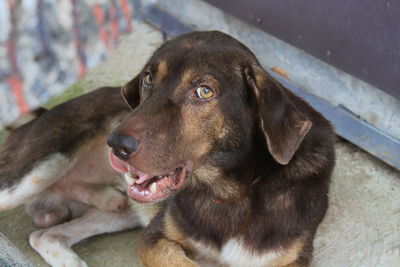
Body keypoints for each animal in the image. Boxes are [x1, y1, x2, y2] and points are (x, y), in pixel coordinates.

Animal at [0, 30, 336, 266]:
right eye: (148, 78)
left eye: (204, 91)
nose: (116, 144)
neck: (230, 193)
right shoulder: (155, 239)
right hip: (32, 172)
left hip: (121, 211)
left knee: (45, 235)